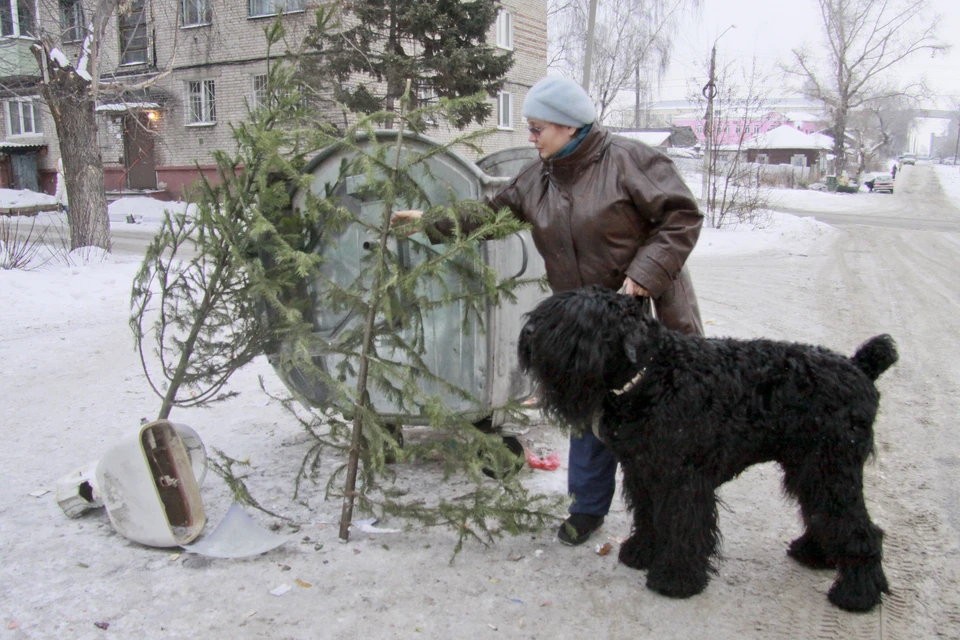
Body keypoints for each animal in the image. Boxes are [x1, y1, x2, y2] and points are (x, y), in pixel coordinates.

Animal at [520, 288, 896, 612]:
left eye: (580, 320)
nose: (529, 334)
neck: (654, 375)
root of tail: (860, 367)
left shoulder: (683, 480)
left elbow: (684, 526)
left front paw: (675, 579)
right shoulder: (643, 472)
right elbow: (648, 517)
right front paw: (641, 552)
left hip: (831, 469)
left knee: (860, 528)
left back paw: (857, 593)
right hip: (807, 469)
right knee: (823, 513)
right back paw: (814, 553)